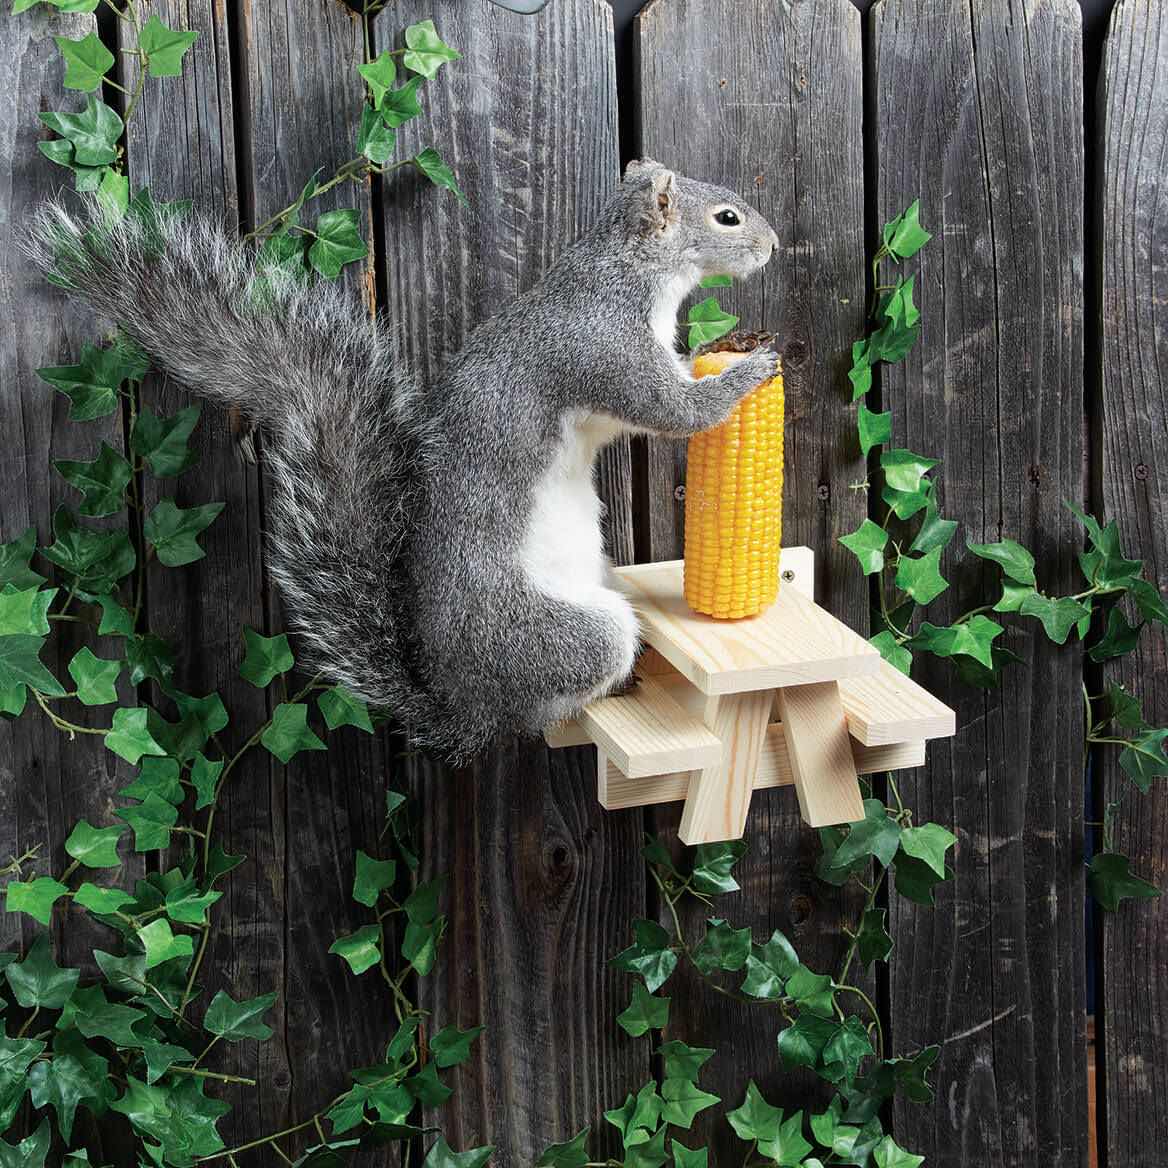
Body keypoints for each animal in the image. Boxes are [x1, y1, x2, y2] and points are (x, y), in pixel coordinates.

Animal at [25, 160, 775, 761]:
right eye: (727, 217)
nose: (771, 246)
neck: (625, 270)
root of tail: (467, 715)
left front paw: (732, 341)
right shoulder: (602, 347)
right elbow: (671, 410)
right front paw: (749, 372)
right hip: (564, 638)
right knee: (554, 702)